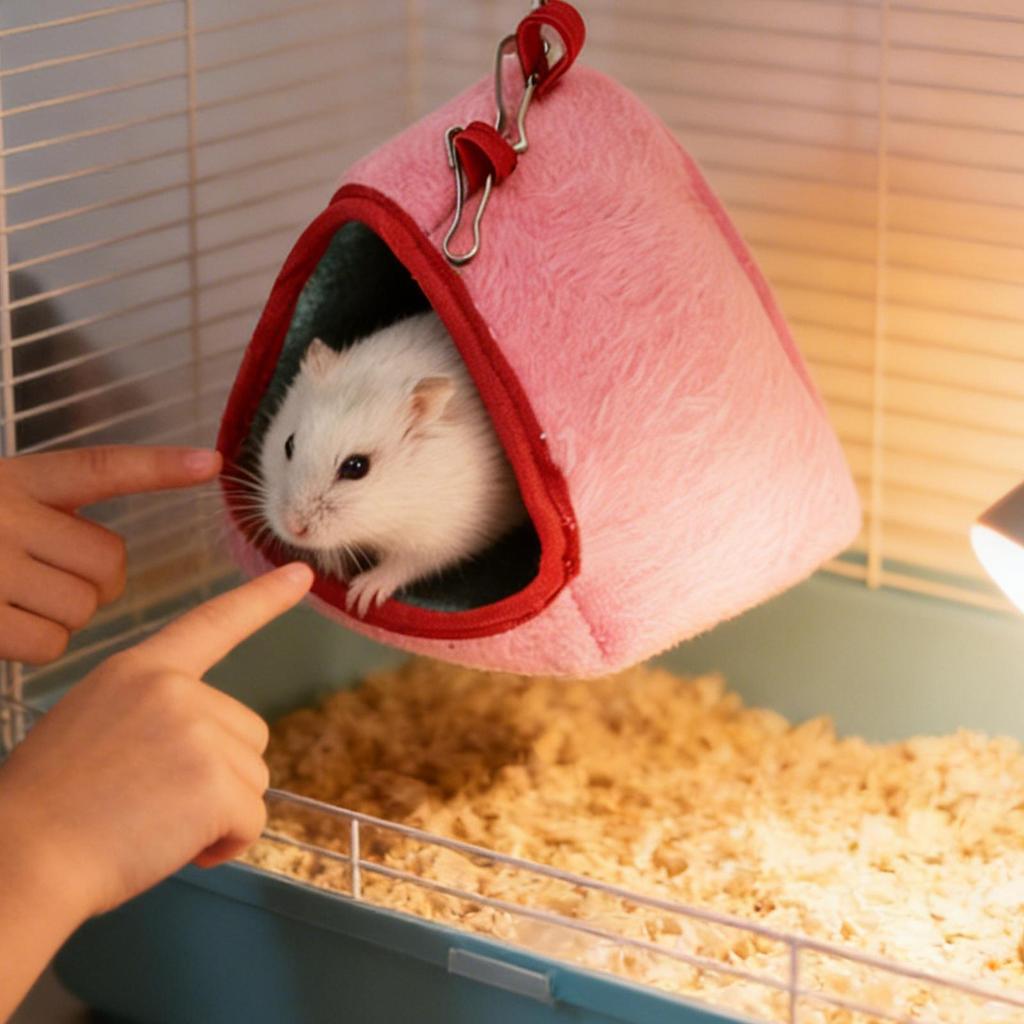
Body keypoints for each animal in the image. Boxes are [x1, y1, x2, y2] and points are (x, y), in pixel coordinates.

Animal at [258, 311, 527, 616]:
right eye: (288, 444)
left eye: (356, 467)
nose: (293, 528)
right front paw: (334, 567)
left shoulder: (442, 535)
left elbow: (405, 563)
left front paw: (360, 596)